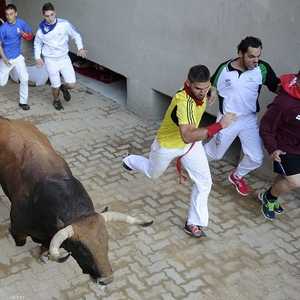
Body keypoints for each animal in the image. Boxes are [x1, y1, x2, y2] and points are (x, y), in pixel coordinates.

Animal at [0, 116, 152, 284]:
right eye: (82, 248)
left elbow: (45, 247)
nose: (107, 279)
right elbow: (21, 242)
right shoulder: (17, 231)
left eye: (106, 240)